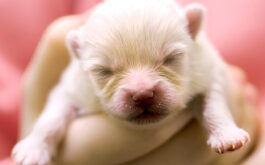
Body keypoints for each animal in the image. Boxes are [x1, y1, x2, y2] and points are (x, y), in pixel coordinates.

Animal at [11, 0, 248, 164]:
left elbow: (214, 104)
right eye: (104, 71)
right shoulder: (72, 89)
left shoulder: (209, 71)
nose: (143, 94)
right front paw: (32, 148)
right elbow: (51, 117)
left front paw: (227, 136)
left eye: (170, 58)